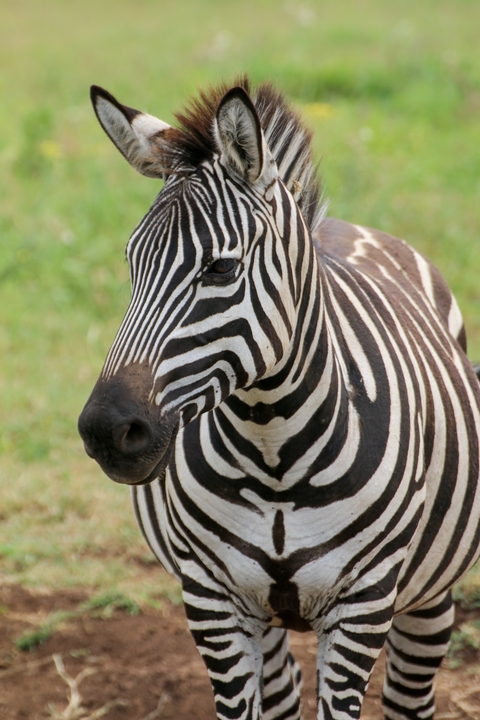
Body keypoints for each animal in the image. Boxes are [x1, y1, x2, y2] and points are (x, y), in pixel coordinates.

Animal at [78, 77, 480, 720]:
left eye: (221, 269)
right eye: (131, 263)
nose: (107, 431)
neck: (273, 449)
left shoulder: (362, 604)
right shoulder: (213, 599)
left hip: (428, 593)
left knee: (408, 695)